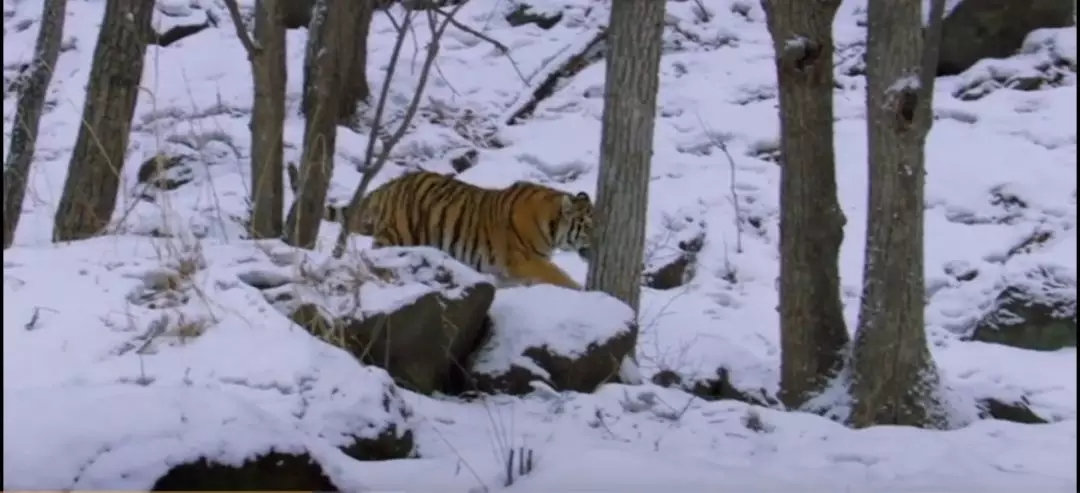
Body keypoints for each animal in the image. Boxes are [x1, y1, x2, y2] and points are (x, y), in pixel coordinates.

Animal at [285, 163, 591, 289]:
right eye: (590, 226)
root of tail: (387, 187)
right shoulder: (525, 259)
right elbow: (559, 275)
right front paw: (583, 290)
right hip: (396, 236)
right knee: (377, 259)